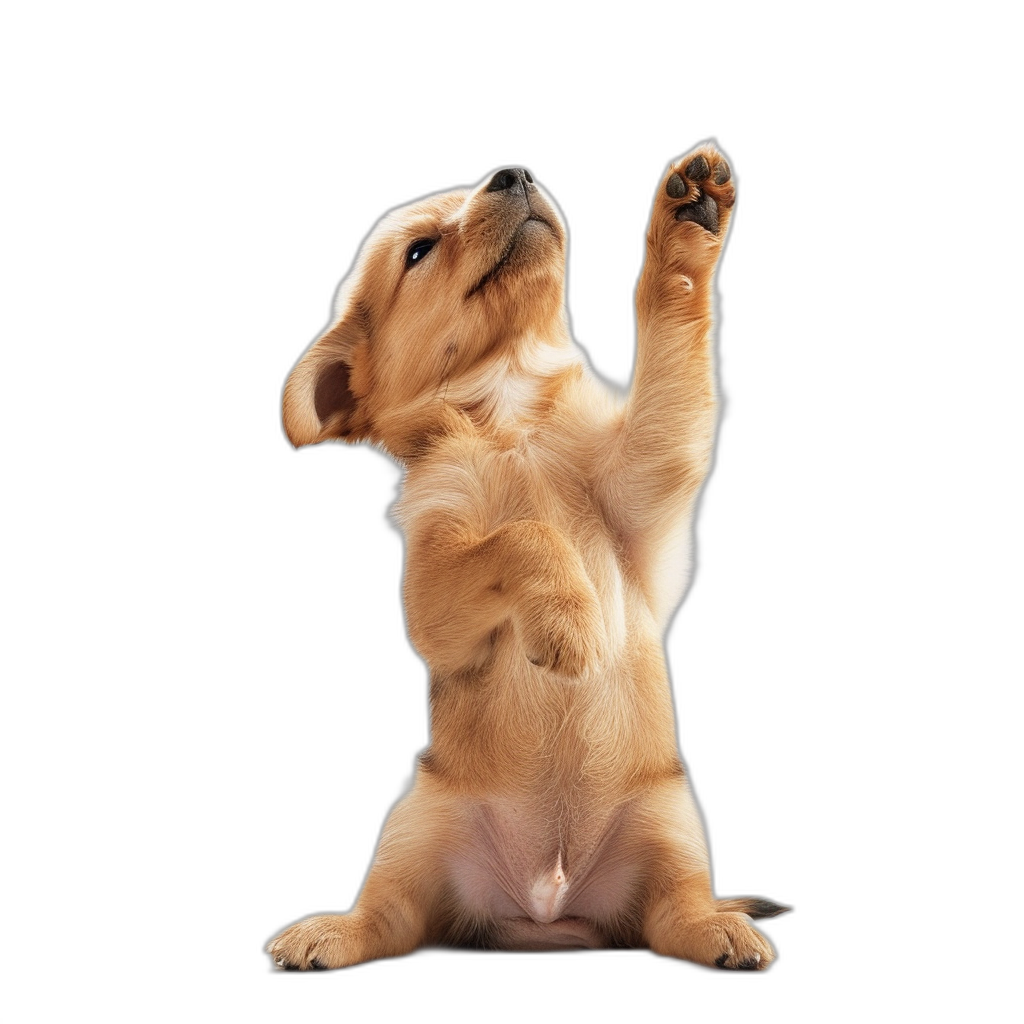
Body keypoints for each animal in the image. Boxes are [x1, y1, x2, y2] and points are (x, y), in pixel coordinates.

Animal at [268, 142, 786, 966]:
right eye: (420, 250)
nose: (512, 174)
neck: (515, 425)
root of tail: (548, 909)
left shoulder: (647, 467)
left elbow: (672, 347)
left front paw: (686, 224)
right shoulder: (433, 601)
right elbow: (522, 536)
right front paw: (568, 625)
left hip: (669, 825)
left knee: (672, 913)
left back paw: (720, 929)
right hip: (414, 827)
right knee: (390, 918)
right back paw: (328, 932)